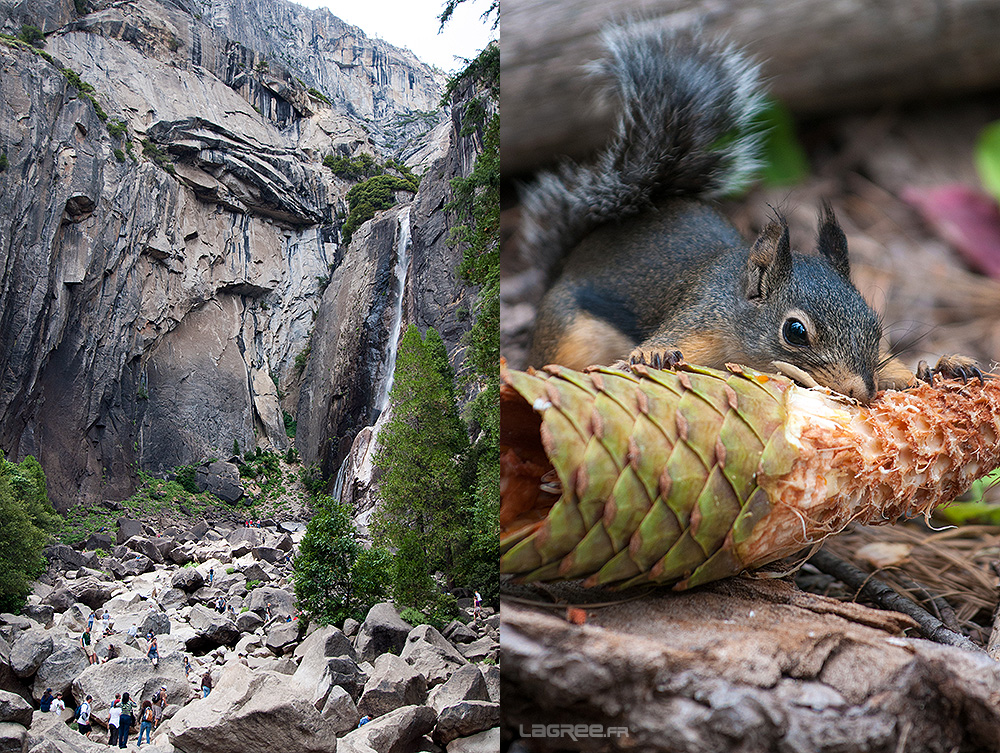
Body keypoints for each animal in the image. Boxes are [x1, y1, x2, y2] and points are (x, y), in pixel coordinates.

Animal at [520, 22, 980, 400]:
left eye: (875, 326)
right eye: (795, 332)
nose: (861, 391)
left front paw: (938, 365)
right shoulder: (697, 322)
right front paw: (652, 356)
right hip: (568, 334)